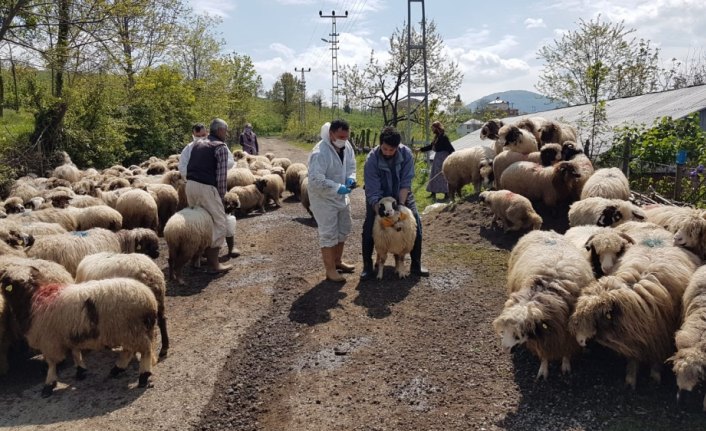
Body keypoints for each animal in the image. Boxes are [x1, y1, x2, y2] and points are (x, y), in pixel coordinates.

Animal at [0, 272, 157, 396]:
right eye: (11, 284)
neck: (33, 298)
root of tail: (149, 299)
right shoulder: (69, 333)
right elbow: (75, 352)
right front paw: (81, 371)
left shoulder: (49, 340)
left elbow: (51, 363)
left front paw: (49, 385)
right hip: (129, 330)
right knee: (130, 350)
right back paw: (117, 369)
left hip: (131, 329)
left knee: (145, 350)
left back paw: (143, 376)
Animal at [490, 231, 592, 380]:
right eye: (505, 330)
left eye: (518, 333)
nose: (505, 349)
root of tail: (544, 231)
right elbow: (544, 354)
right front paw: (543, 370)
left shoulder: (567, 333)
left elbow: (566, 352)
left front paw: (565, 365)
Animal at [568, 238, 700, 390]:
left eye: (595, 317)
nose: (580, 341)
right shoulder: (635, 335)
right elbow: (633, 359)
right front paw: (630, 379)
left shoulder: (660, 335)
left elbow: (656, 358)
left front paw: (655, 376)